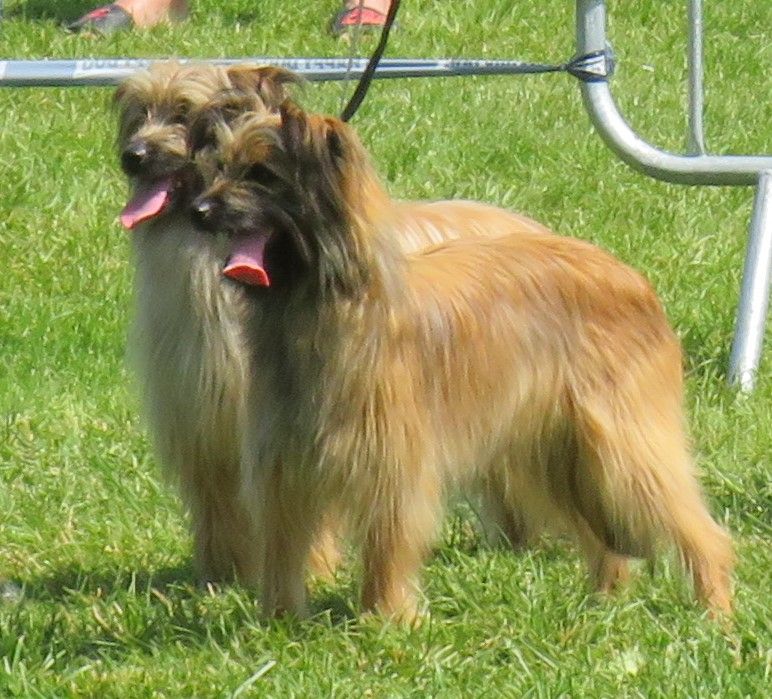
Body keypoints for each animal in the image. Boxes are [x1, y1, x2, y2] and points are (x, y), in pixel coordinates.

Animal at [195, 100, 736, 624]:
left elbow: (387, 545)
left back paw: (716, 613)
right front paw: (279, 622)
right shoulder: (283, 466)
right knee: (602, 537)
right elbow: (282, 549)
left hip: (623, 445)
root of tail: (631, 277)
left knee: (698, 528)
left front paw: (386, 618)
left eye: (262, 174)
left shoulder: (393, 466)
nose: (199, 209)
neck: (319, 301)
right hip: (556, 451)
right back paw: (603, 604)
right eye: (222, 166)